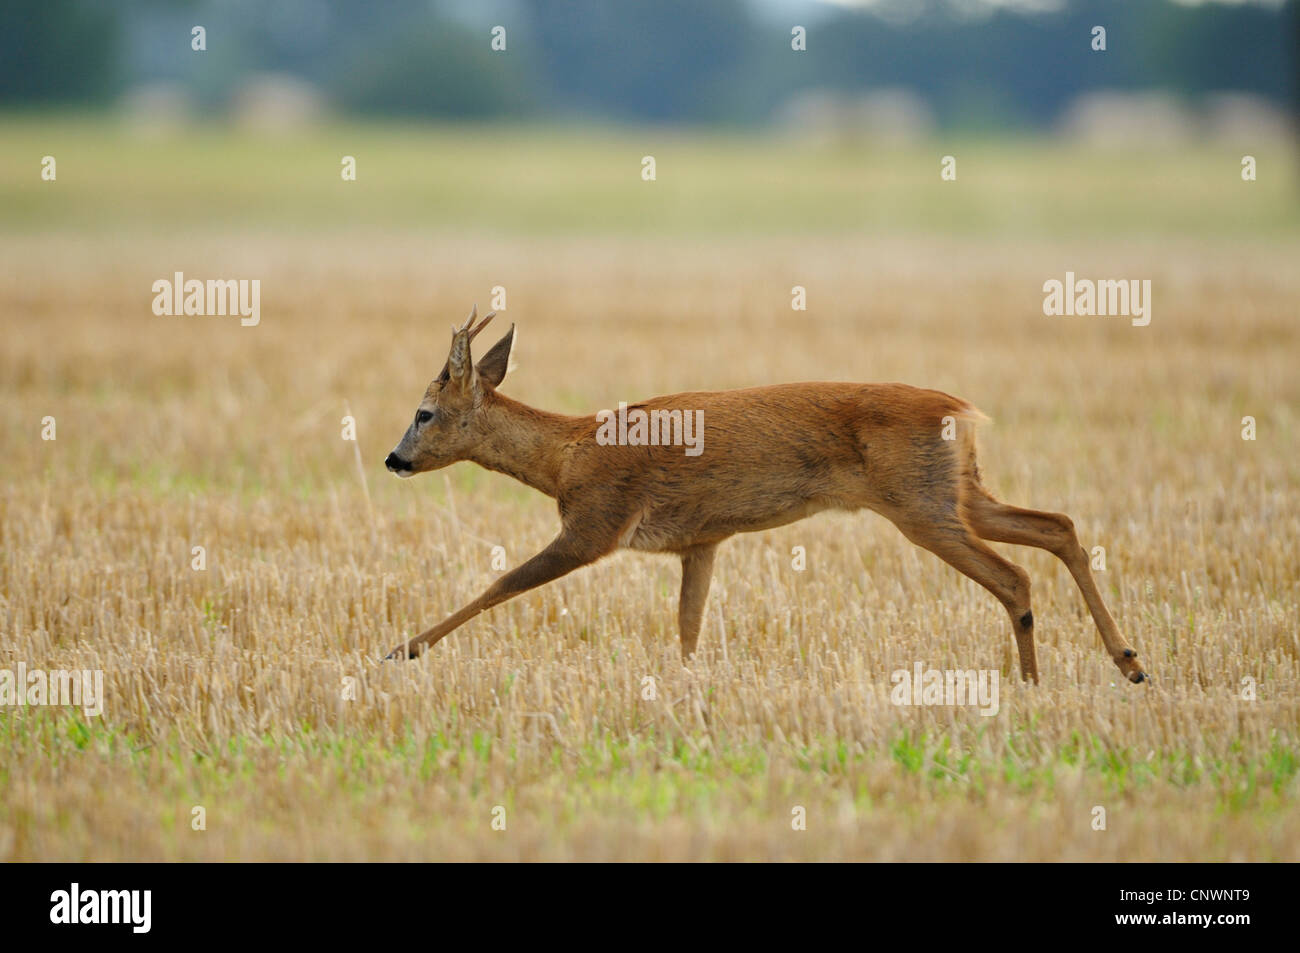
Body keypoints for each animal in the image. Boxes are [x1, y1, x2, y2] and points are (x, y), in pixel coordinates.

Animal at [379, 304, 1149, 686]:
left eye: (424, 411)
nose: (393, 458)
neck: (567, 452)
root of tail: (961, 409)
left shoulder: (595, 523)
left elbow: (500, 585)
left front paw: (401, 651)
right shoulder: (701, 540)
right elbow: (688, 628)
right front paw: (687, 690)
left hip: (922, 504)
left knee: (1015, 575)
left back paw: (1034, 684)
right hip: (959, 490)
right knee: (1058, 524)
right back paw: (1129, 661)